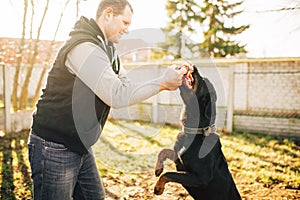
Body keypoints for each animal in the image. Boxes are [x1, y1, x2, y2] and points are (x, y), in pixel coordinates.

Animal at [155, 65, 241, 199]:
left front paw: (158, 188)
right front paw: (158, 169)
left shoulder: (201, 177)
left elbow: (168, 174)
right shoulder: (178, 157)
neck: (193, 132)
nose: (194, 66)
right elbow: (163, 151)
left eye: (204, 80)